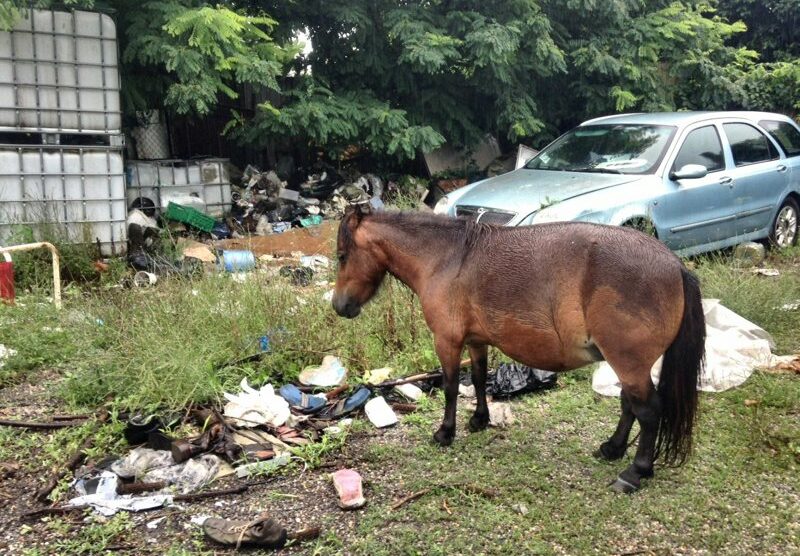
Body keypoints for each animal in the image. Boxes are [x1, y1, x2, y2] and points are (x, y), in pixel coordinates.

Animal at [332, 206, 708, 494]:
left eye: (341, 256)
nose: (339, 306)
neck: (447, 258)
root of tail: (675, 265)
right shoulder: (476, 341)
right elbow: (478, 380)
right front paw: (480, 419)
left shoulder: (447, 341)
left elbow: (451, 388)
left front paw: (445, 432)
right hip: (626, 364)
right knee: (630, 405)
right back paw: (613, 449)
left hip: (628, 363)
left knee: (648, 411)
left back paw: (635, 472)